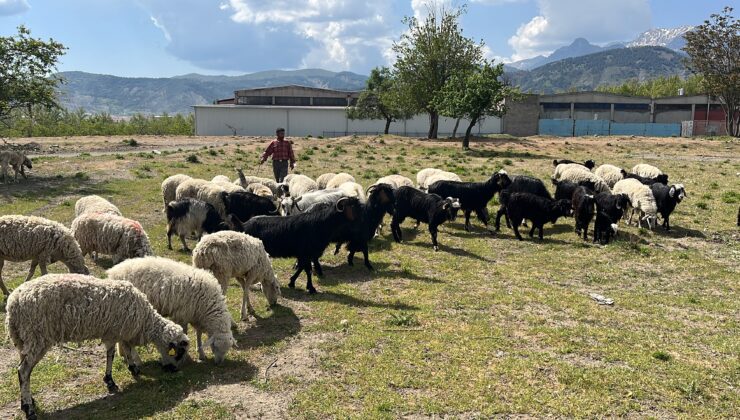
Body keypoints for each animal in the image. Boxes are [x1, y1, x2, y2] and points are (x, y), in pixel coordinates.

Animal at [5, 272, 189, 420]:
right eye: (177, 353)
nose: (175, 370)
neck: (145, 320)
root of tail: (13, 304)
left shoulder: (121, 331)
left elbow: (126, 349)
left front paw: (132, 368)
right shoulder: (114, 332)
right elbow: (113, 354)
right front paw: (111, 380)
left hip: (24, 338)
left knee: (24, 372)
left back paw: (28, 400)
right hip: (37, 336)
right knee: (23, 371)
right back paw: (29, 409)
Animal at [105, 258, 234, 362]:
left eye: (227, 349)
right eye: (215, 346)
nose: (219, 363)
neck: (209, 304)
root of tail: (113, 272)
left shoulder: (197, 317)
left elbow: (198, 334)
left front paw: (201, 353)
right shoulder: (182, 315)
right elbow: (185, 332)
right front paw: (185, 354)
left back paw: (123, 354)